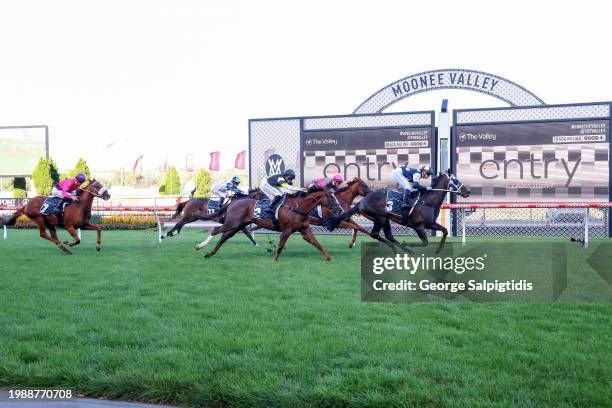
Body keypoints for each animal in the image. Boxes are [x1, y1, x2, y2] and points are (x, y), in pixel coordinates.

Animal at [195, 189, 330, 260]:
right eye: (331, 196)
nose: (336, 208)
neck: (297, 207)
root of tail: (232, 203)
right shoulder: (286, 230)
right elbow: (280, 246)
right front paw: (275, 259)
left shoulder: (304, 229)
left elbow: (316, 243)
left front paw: (328, 257)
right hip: (231, 223)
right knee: (215, 230)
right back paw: (200, 246)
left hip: (237, 226)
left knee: (223, 238)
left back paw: (209, 253)